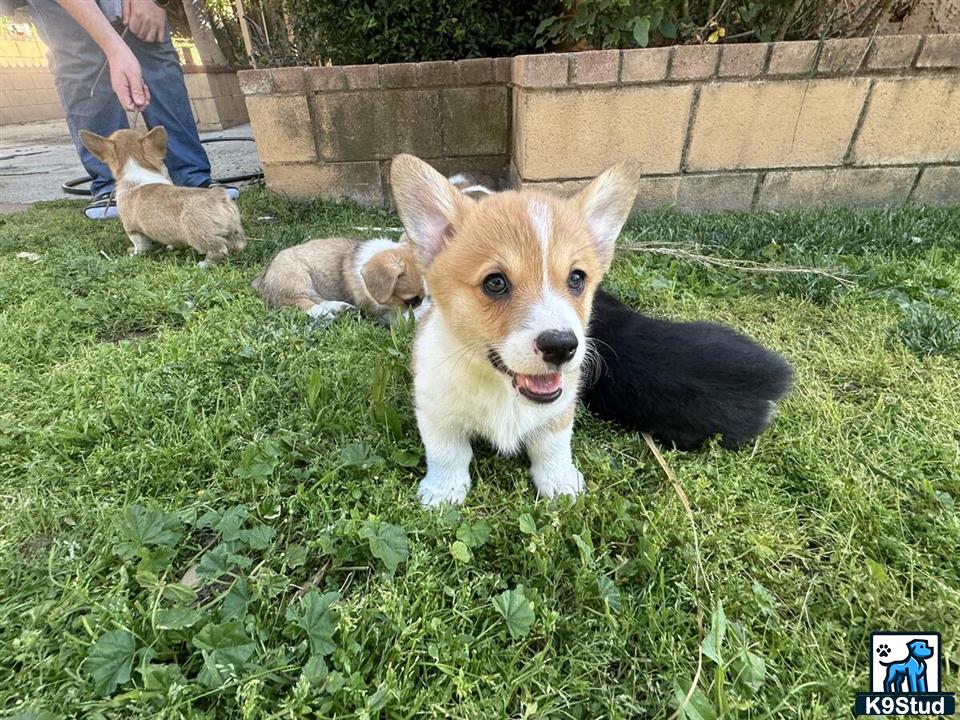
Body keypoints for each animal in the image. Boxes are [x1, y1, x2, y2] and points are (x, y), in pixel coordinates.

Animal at [79, 127, 246, 268]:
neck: (136, 169)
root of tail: (219, 197)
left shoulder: (133, 229)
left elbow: (140, 245)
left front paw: (135, 254)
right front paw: (171, 246)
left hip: (197, 234)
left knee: (218, 248)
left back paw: (205, 264)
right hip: (234, 228)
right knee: (237, 244)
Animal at [251, 235, 424, 322]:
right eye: (412, 301)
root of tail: (261, 279)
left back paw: (339, 307)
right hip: (296, 279)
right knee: (300, 302)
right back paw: (322, 313)